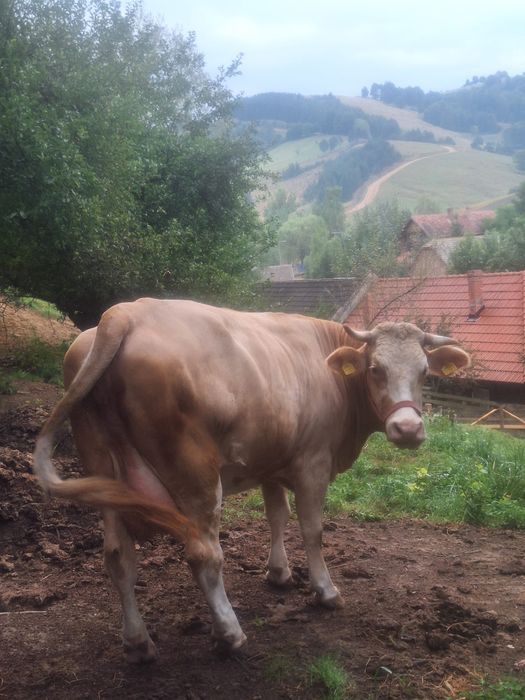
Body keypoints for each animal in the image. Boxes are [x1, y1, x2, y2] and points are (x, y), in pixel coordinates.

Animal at [33, 298, 470, 662]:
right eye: (376, 369)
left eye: (424, 372)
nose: (408, 429)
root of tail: (124, 312)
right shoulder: (313, 463)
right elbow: (312, 529)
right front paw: (324, 590)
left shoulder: (270, 463)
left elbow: (277, 515)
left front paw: (278, 573)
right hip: (196, 473)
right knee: (204, 554)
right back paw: (230, 633)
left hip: (102, 471)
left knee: (118, 556)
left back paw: (139, 642)